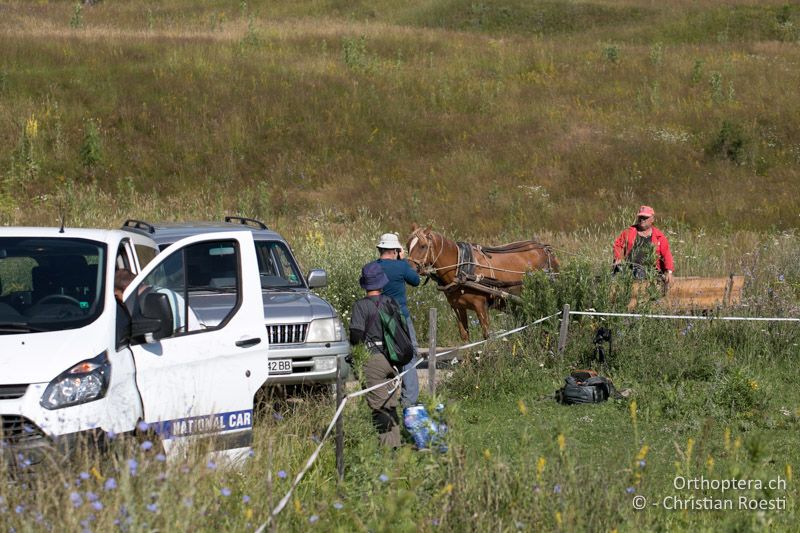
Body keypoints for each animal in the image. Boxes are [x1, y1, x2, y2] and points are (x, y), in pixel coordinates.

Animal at [406, 224, 556, 340]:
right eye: (408, 246)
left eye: (423, 246)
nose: (409, 269)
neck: (461, 268)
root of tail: (546, 249)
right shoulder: (457, 307)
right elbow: (465, 337)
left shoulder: (481, 306)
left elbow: (486, 336)